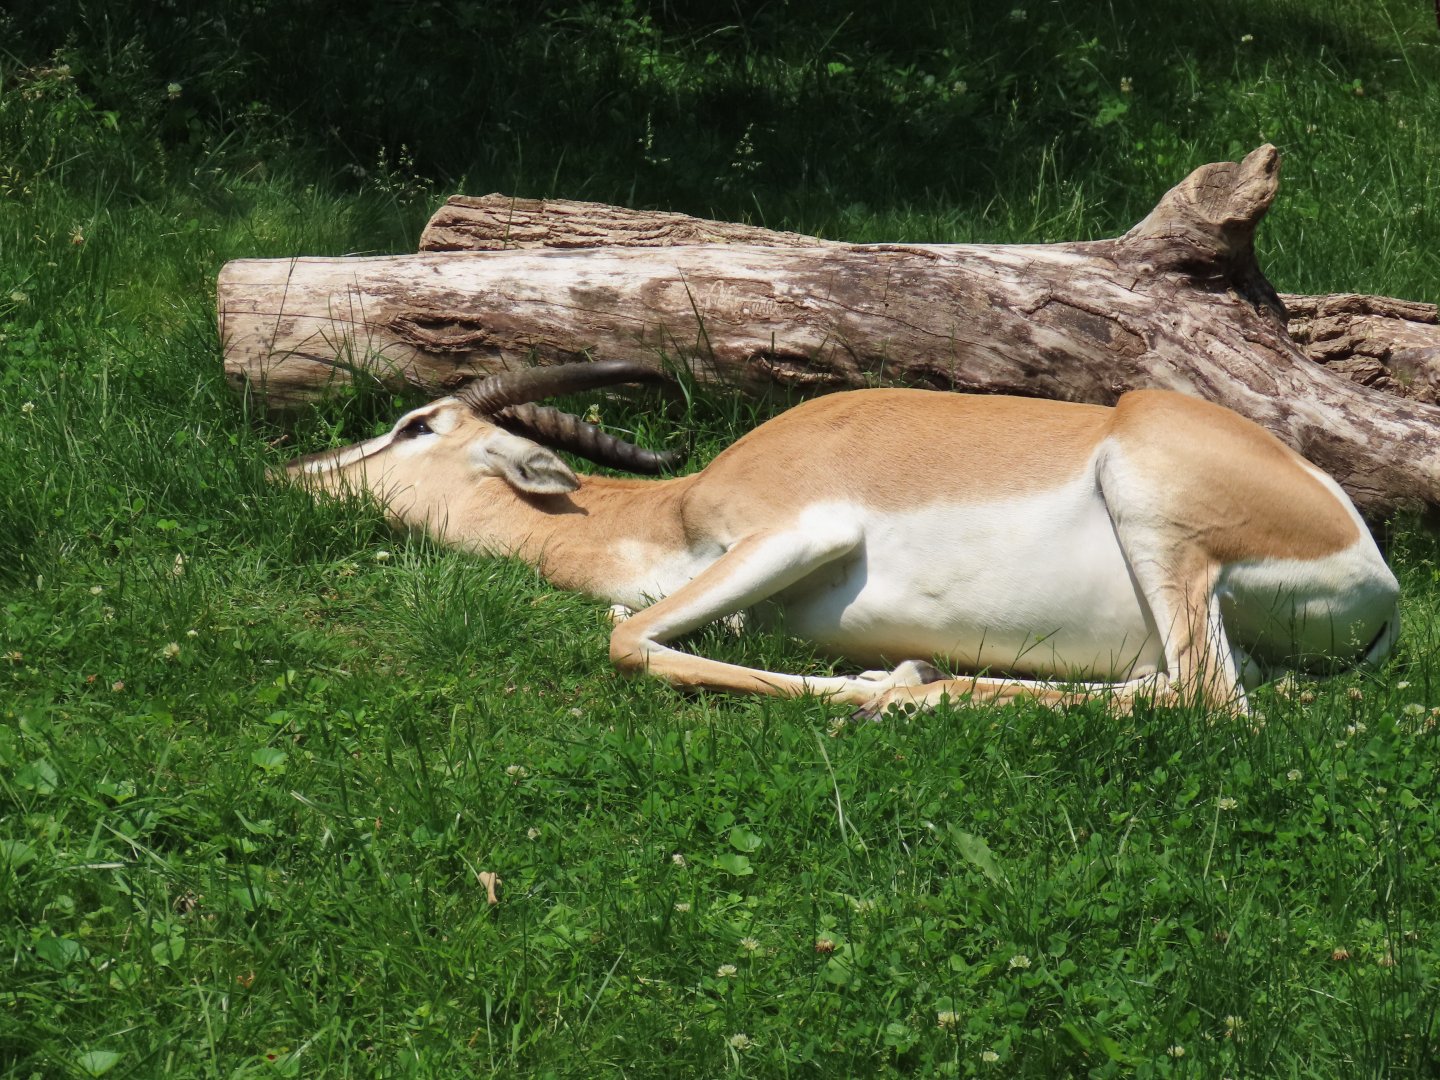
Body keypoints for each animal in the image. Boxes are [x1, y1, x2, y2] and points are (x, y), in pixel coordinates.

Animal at [286, 360, 1400, 715]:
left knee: (1209, 704)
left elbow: (628, 639)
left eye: (415, 424)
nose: (290, 475)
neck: (672, 511)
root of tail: (1381, 581)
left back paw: (904, 689)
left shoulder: (798, 530)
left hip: (1151, 510)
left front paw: (879, 680)